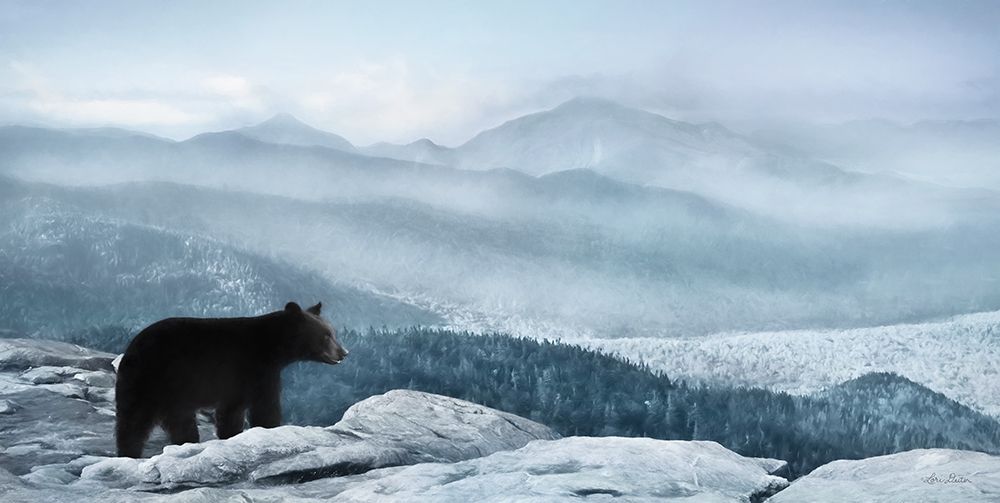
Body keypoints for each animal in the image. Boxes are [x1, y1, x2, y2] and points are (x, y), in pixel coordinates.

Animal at [114, 301, 347, 458]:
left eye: (333, 332)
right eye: (326, 335)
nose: (343, 353)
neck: (272, 347)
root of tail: (131, 348)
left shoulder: (239, 382)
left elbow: (232, 411)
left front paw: (231, 436)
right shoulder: (254, 369)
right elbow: (265, 406)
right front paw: (270, 429)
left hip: (171, 394)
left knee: (178, 421)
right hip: (152, 381)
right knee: (134, 420)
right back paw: (130, 452)